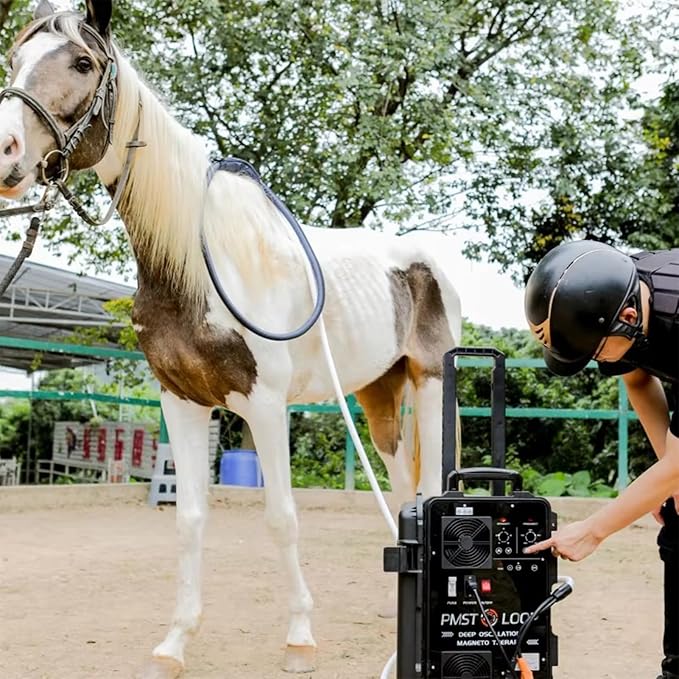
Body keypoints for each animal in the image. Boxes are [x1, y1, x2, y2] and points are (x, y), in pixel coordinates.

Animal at [0, 1, 462, 676]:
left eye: (83, 63)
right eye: (14, 59)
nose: (6, 152)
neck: (198, 262)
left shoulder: (266, 406)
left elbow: (281, 518)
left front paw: (299, 638)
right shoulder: (182, 403)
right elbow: (190, 519)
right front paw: (173, 644)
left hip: (428, 385)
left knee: (428, 493)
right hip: (379, 396)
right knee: (404, 491)